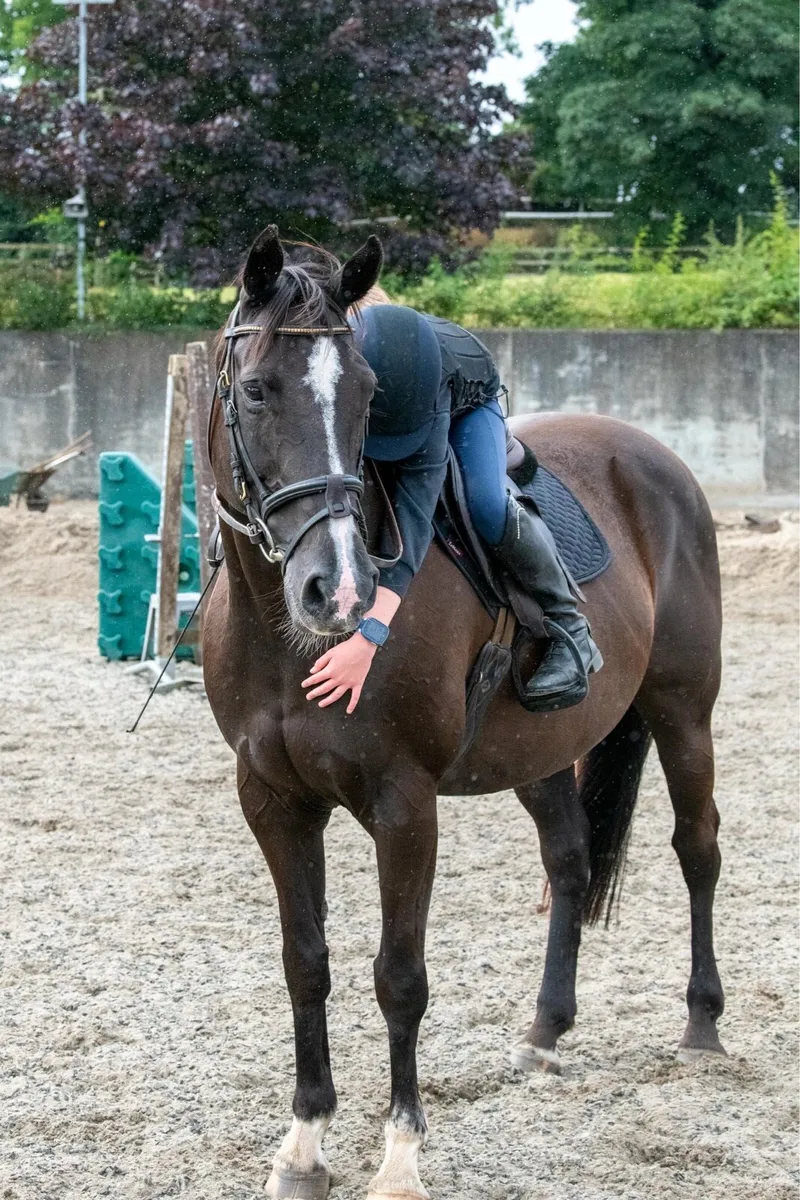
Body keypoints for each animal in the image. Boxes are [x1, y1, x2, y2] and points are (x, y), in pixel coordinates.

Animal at [203, 228, 726, 1200]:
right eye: (255, 390)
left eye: (368, 397)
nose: (339, 591)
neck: (285, 636)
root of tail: (651, 452)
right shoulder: (274, 802)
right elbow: (306, 964)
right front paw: (304, 1144)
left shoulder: (404, 806)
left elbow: (399, 977)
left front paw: (401, 1157)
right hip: (542, 749)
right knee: (569, 860)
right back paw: (547, 1031)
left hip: (684, 710)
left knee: (697, 848)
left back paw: (703, 1024)